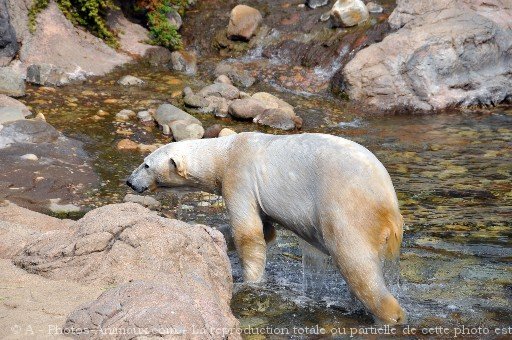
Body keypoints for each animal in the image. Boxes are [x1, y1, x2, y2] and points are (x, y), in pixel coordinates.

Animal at [126, 132, 406, 324]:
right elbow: (265, 230)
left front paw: (249, 282)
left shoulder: (239, 177)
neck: (225, 153)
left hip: (347, 210)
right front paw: (209, 234)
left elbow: (248, 234)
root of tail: (389, 203)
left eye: (146, 164)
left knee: (357, 263)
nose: (129, 181)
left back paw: (391, 315)